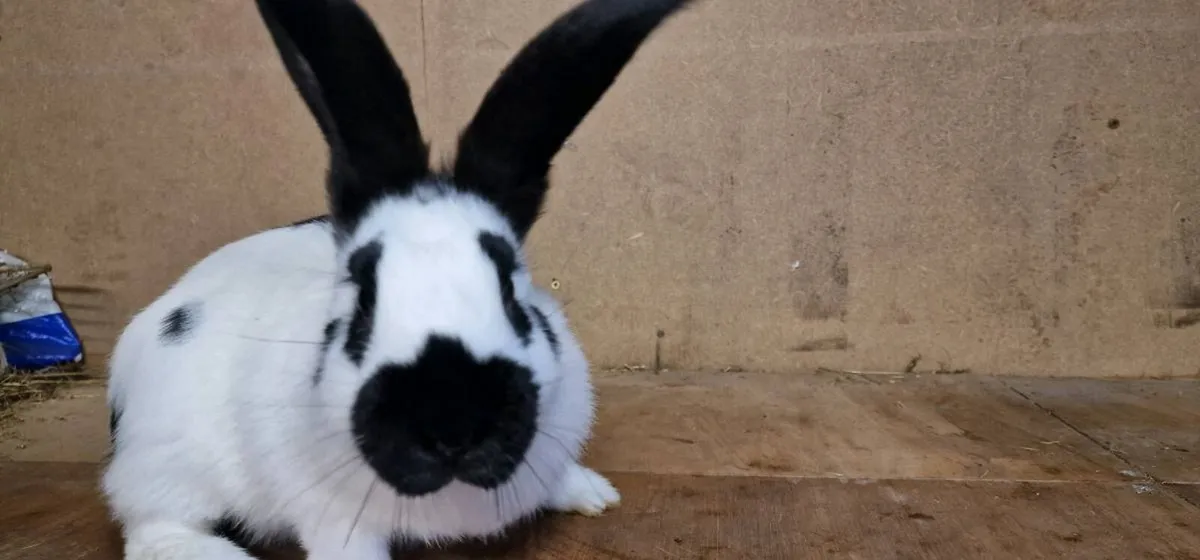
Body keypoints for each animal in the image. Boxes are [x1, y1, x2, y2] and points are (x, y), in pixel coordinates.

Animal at [99, 0, 696, 558]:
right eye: (362, 303)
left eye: (512, 294)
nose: (452, 425)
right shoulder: (337, 523)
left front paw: (595, 493)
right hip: (170, 467)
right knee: (151, 530)